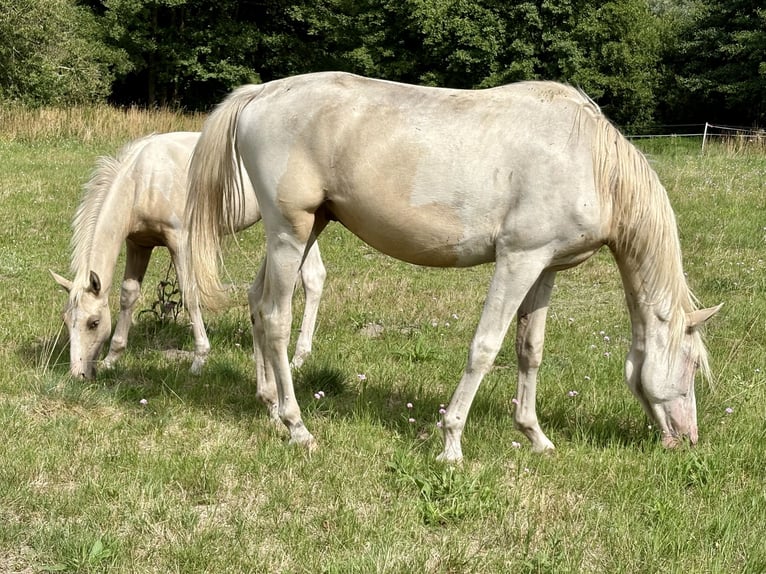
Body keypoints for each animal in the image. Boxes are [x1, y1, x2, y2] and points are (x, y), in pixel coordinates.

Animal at [52, 131, 326, 380]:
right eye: (66, 320)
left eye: (94, 322)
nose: (77, 374)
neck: (143, 180)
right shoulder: (138, 245)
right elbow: (128, 295)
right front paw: (112, 358)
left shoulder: (179, 241)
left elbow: (189, 294)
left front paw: (199, 360)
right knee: (311, 277)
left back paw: (296, 359)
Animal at [184, 72, 721, 462]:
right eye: (694, 364)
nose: (688, 439)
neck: (588, 160)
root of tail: (260, 94)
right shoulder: (518, 260)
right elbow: (485, 347)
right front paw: (451, 443)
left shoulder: (544, 268)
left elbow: (530, 350)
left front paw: (536, 437)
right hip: (288, 232)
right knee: (276, 317)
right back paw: (298, 427)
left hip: (307, 228)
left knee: (258, 305)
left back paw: (271, 407)